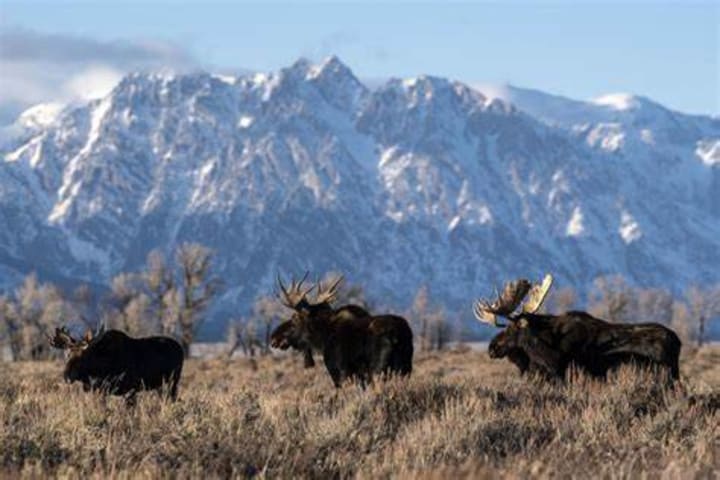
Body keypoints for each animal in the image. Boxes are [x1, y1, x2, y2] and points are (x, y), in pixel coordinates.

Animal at [48, 326, 184, 405]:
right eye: (67, 355)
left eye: (83, 356)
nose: (66, 376)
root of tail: (181, 348)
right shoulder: (100, 391)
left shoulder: (130, 389)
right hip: (160, 386)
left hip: (173, 381)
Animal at [271, 274, 413, 387]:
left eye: (294, 318)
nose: (273, 338)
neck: (322, 339)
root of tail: (397, 335)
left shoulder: (340, 374)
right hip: (404, 369)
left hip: (379, 371)